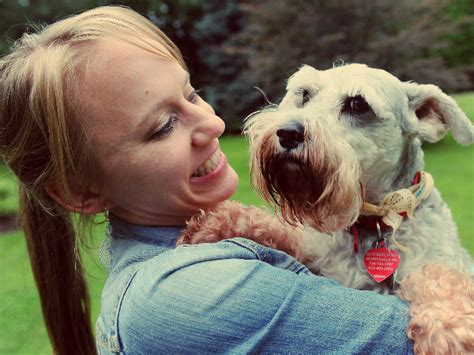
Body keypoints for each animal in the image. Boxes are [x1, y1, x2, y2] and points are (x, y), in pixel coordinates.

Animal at [179, 64, 474, 355]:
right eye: (305, 94)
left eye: (358, 104)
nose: (287, 132)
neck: (369, 223)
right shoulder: (313, 249)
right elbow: (281, 230)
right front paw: (217, 221)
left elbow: (438, 277)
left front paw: (449, 326)